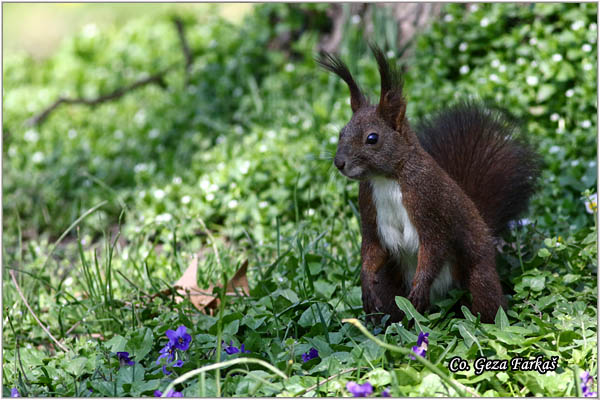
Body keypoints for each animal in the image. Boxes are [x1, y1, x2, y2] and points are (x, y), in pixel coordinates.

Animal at [316, 45, 540, 324]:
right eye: (341, 133)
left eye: (372, 138)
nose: (339, 163)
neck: (386, 179)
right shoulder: (369, 208)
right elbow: (372, 249)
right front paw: (365, 283)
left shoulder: (429, 204)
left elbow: (434, 247)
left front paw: (419, 288)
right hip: (390, 287)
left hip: (478, 275)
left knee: (486, 298)